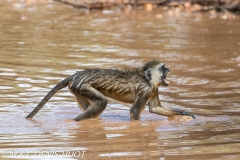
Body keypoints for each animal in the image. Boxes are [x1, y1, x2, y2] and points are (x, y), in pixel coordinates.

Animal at [26, 60, 195, 120]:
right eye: (163, 68)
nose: (169, 69)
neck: (148, 80)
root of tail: (76, 75)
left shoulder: (153, 90)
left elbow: (155, 109)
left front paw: (184, 113)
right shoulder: (146, 90)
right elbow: (135, 111)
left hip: (77, 90)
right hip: (82, 87)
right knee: (101, 102)